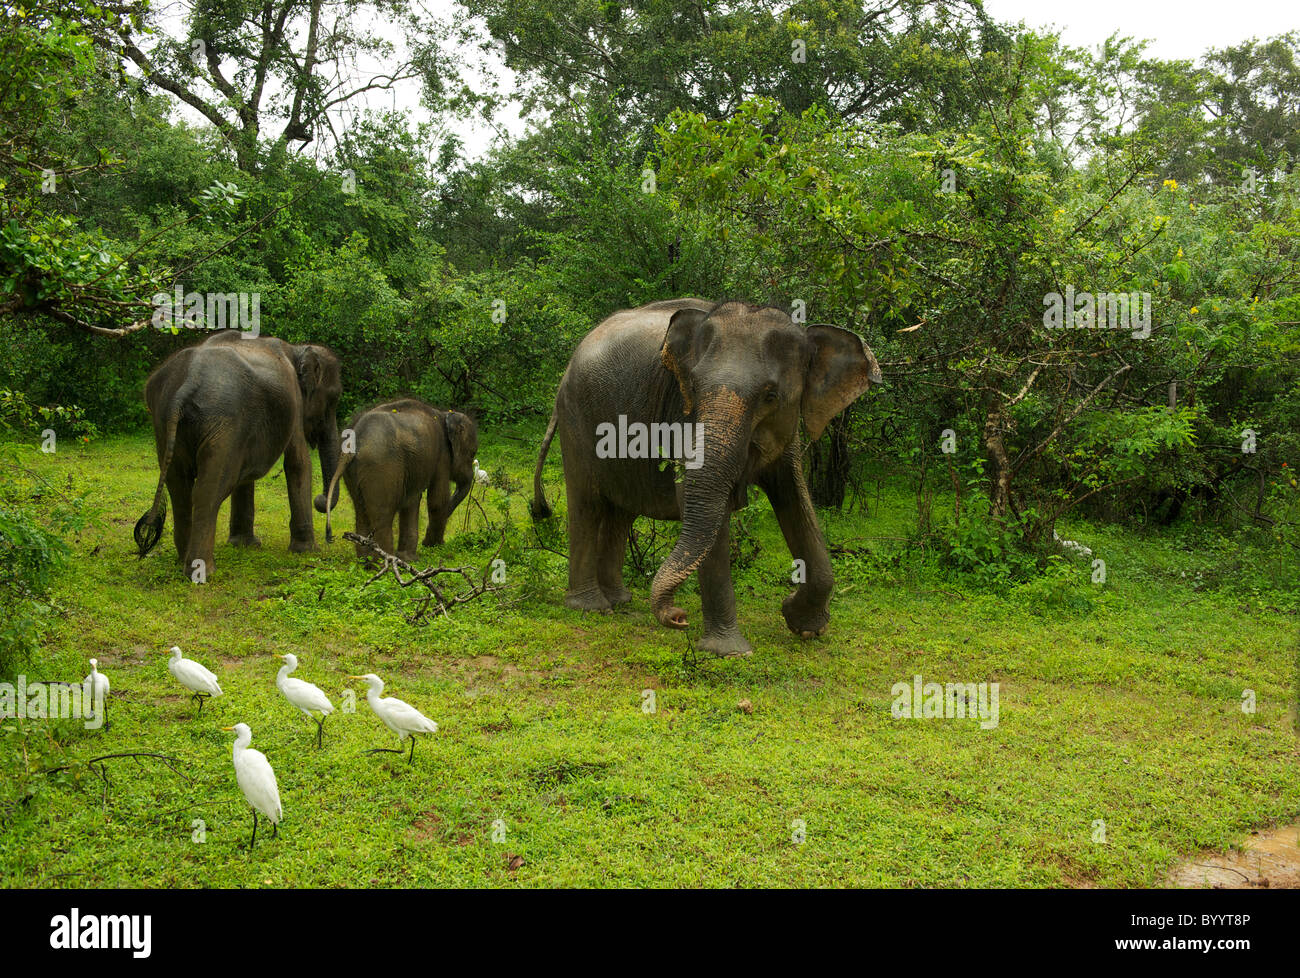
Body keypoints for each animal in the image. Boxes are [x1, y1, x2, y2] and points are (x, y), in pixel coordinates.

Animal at [134, 332, 343, 577]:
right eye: (332, 399)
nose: (320, 500)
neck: (295, 349)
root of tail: (188, 380)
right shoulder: (293, 403)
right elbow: (298, 463)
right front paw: (307, 551)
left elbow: (246, 475)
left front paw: (245, 545)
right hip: (223, 422)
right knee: (209, 490)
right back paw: (203, 571)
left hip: (165, 424)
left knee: (179, 488)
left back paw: (183, 562)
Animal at [325, 397, 483, 561]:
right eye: (472, 453)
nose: (425, 543)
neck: (445, 414)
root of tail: (352, 443)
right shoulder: (442, 456)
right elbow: (437, 500)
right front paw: (434, 547)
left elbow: (411, 500)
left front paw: (409, 558)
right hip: (382, 467)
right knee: (382, 513)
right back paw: (385, 562)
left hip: (354, 471)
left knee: (361, 510)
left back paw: (366, 562)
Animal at [530, 297, 883, 658]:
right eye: (695, 388)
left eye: (770, 396)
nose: (678, 616)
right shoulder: (681, 414)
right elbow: (700, 502)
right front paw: (730, 652)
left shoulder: (788, 435)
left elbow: (796, 500)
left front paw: (806, 627)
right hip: (577, 417)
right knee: (587, 503)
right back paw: (592, 608)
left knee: (620, 511)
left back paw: (620, 601)